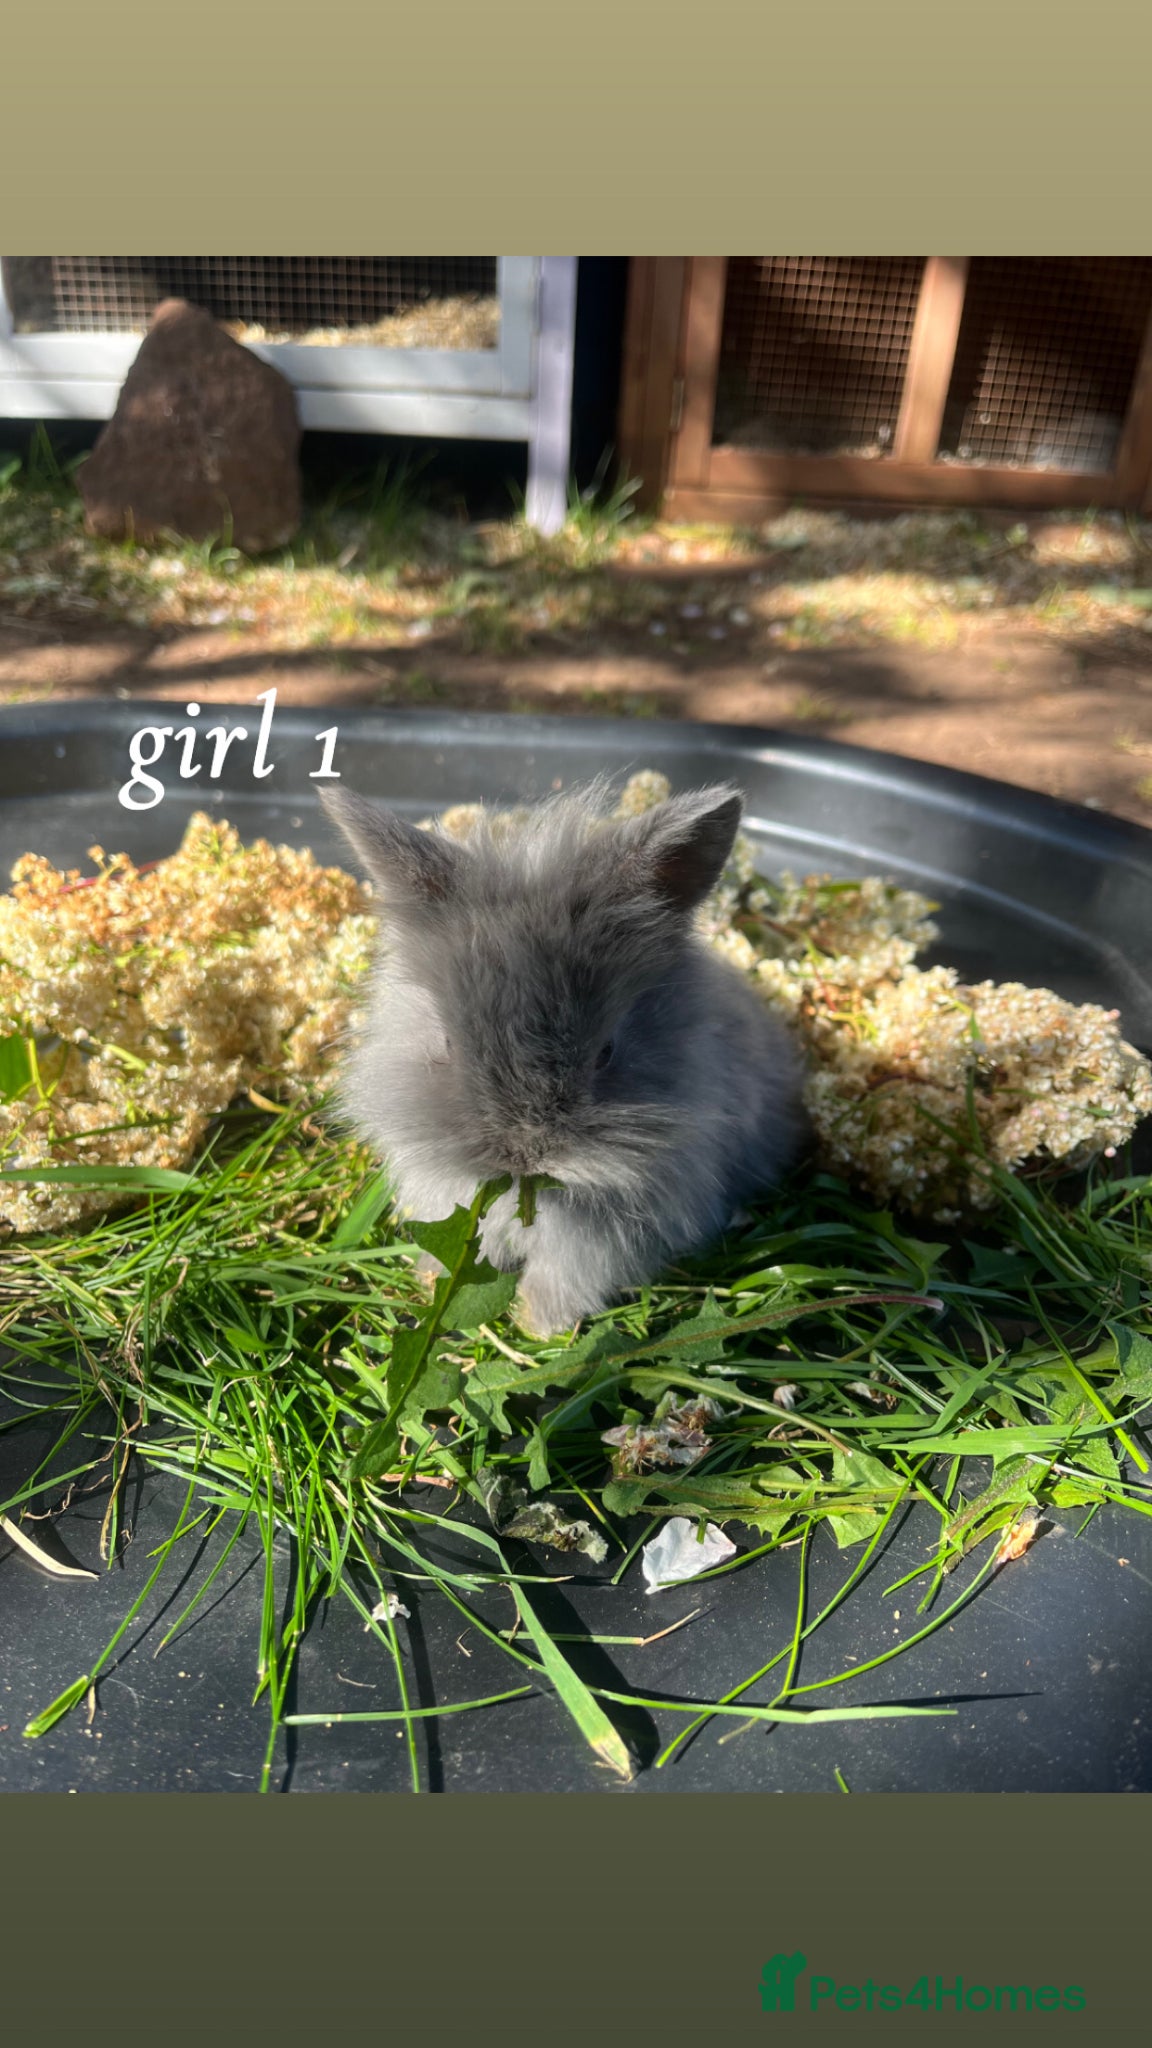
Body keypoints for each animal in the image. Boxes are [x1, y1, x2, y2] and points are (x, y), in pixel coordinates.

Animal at [319, 778, 808, 1337]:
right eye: (446, 1044)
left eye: (607, 1052)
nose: (524, 1157)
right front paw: (435, 1283)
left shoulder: (605, 1241)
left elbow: (564, 1278)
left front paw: (537, 1325)